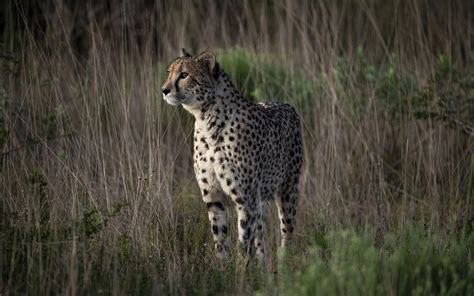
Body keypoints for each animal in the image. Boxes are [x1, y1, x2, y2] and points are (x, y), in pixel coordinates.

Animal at [161, 48, 302, 262]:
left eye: (184, 75)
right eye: (170, 72)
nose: (164, 90)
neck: (206, 120)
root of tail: (285, 104)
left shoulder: (244, 200)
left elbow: (244, 242)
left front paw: (242, 269)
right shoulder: (214, 198)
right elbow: (220, 239)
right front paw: (223, 267)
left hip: (288, 190)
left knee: (287, 232)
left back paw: (284, 262)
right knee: (260, 236)